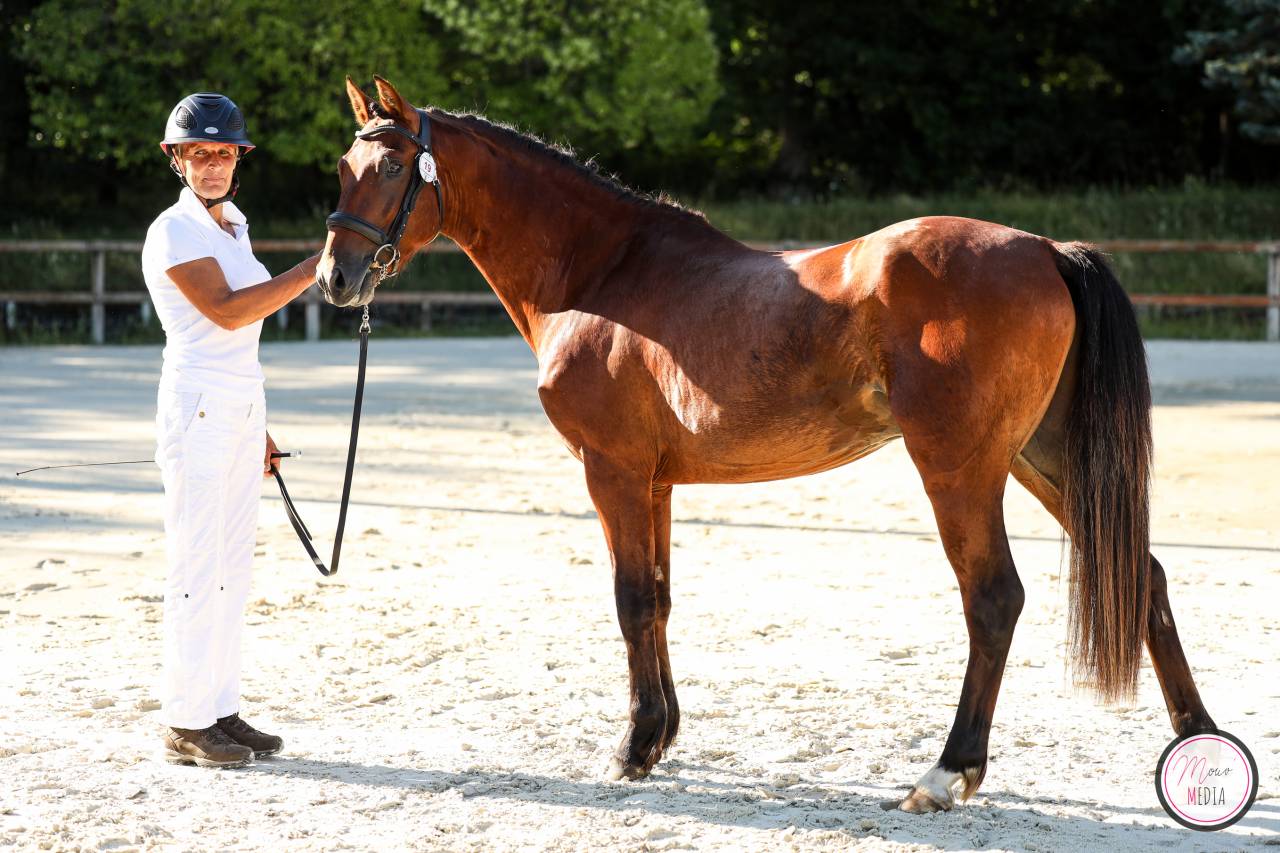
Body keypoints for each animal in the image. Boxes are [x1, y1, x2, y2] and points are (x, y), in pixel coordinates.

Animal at [316, 76, 1217, 813]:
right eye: (342, 165)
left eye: (390, 169)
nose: (335, 279)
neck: (601, 274)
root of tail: (1044, 249)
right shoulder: (656, 482)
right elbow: (659, 598)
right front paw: (661, 735)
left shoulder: (612, 471)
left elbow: (629, 599)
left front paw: (631, 748)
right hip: (1044, 460)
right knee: (1142, 571)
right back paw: (1196, 738)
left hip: (961, 467)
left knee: (994, 596)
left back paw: (943, 772)